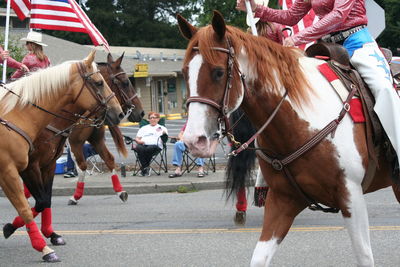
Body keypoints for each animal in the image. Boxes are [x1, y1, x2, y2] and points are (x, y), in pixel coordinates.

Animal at [179, 12, 400, 267]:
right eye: (184, 73)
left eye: (218, 72)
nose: (194, 140)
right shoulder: (282, 200)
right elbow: (259, 258)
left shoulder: (350, 196)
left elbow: (364, 256)